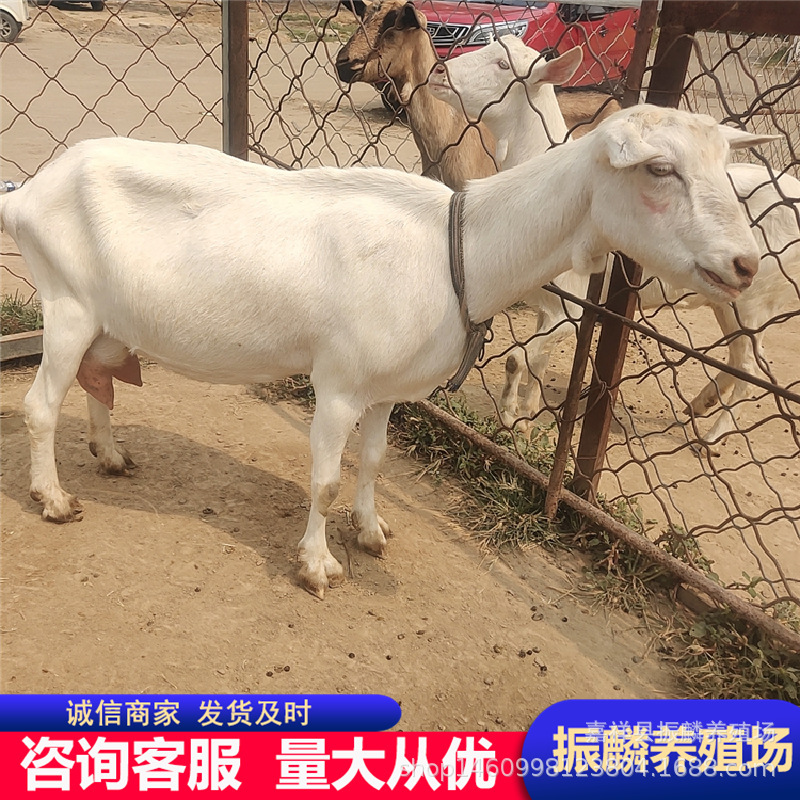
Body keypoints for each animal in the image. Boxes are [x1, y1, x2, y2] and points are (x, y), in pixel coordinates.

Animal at [0, 106, 769, 597]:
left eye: (725, 165)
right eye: (661, 168)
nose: (745, 265)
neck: (458, 248)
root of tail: (30, 191)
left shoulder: (389, 388)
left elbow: (372, 462)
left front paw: (371, 533)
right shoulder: (338, 382)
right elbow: (324, 480)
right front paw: (317, 568)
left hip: (106, 318)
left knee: (96, 383)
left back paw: (110, 455)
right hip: (66, 304)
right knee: (41, 405)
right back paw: (55, 498)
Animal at [430, 36, 799, 448]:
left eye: (503, 65)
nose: (438, 70)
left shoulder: (573, 306)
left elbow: (518, 358)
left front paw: (512, 416)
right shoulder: (548, 303)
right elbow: (537, 361)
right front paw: (527, 413)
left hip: (757, 299)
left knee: (750, 365)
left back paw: (714, 435)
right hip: (729, 300)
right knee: (739, 359)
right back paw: (700, 405)